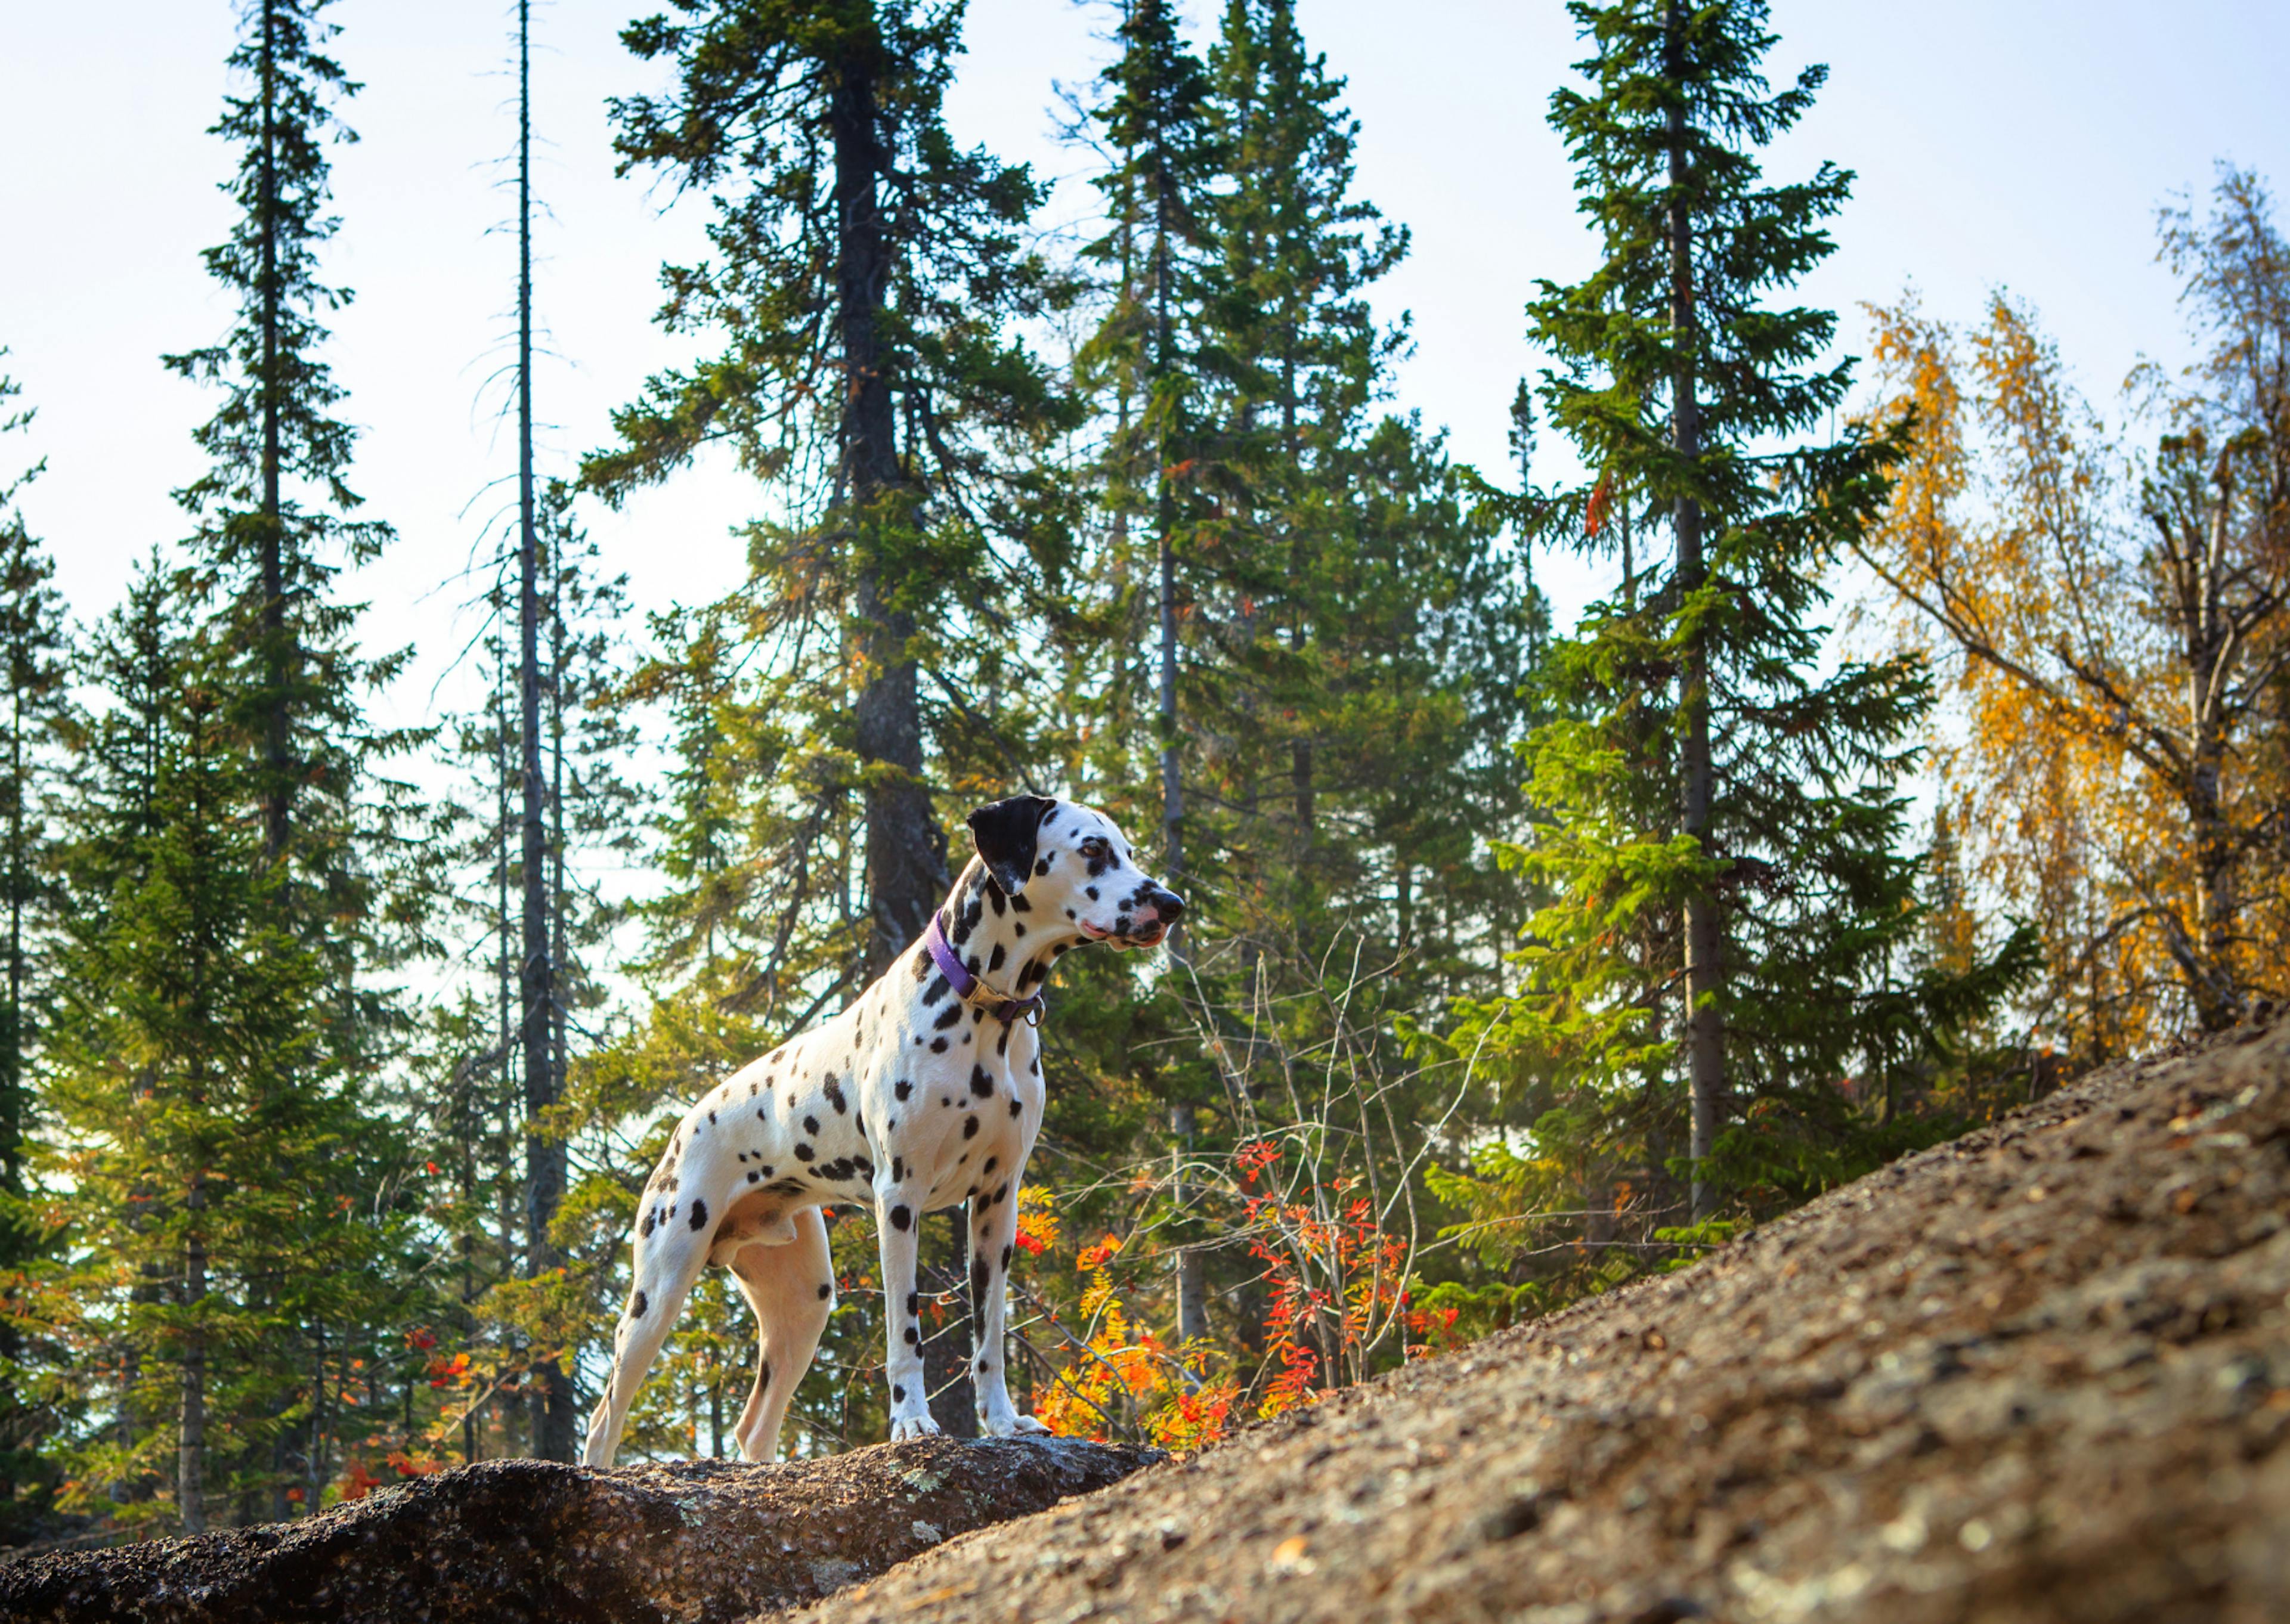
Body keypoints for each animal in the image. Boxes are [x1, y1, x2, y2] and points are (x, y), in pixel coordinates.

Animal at [581, 792, 1190, 1465]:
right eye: (1093, 849)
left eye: (1129, 851)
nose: (1172, 904)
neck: (984, 1012)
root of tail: (686, 1124)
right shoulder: (899, 1200)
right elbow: (906, 1331)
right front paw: (912, 1422)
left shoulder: (996, 1204)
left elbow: (990, 1335)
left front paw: (1003, 1422)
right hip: (660, 1288)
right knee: (604, 1419)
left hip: (803, 1303)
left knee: (754, 1427)